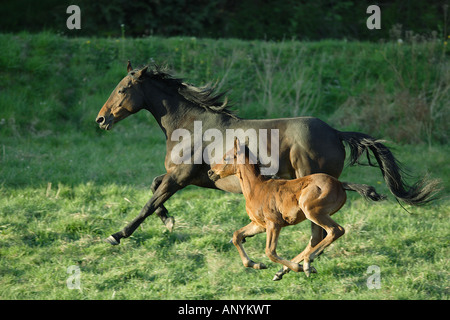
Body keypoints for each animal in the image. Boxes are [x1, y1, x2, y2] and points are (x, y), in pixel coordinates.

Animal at [96, 62, 440, 245]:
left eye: (123, 89)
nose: (101, 119)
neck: (191, 126)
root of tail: (335, 133)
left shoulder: (180, 176)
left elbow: (149, 203)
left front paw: (117, 234)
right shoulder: (190, 178)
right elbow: (155, 189)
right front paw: (168, 221)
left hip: (310, 186)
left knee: (318, 228)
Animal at [207, 139, 384, 280]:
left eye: (226, 157)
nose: (210, 172)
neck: (257, 188)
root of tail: (341, 184)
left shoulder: (274, 223)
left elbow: (270, 251)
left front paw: (294, 267)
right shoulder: (259, 225)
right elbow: (237, 236)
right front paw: (256, 264)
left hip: (312, 211)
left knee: (335, 231)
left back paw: (305, 265)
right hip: (316, 215)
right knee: (316, 238)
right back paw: (284, 271)